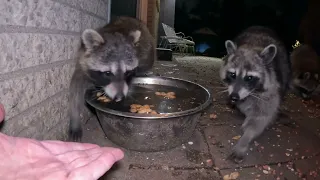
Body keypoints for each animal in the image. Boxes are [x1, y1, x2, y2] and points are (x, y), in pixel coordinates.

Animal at [220, 26, 292, 162]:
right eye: (233, 74)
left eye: (249, 78)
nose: (234, 97)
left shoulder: (271, 91)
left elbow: (260, 118)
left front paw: (245, 139)